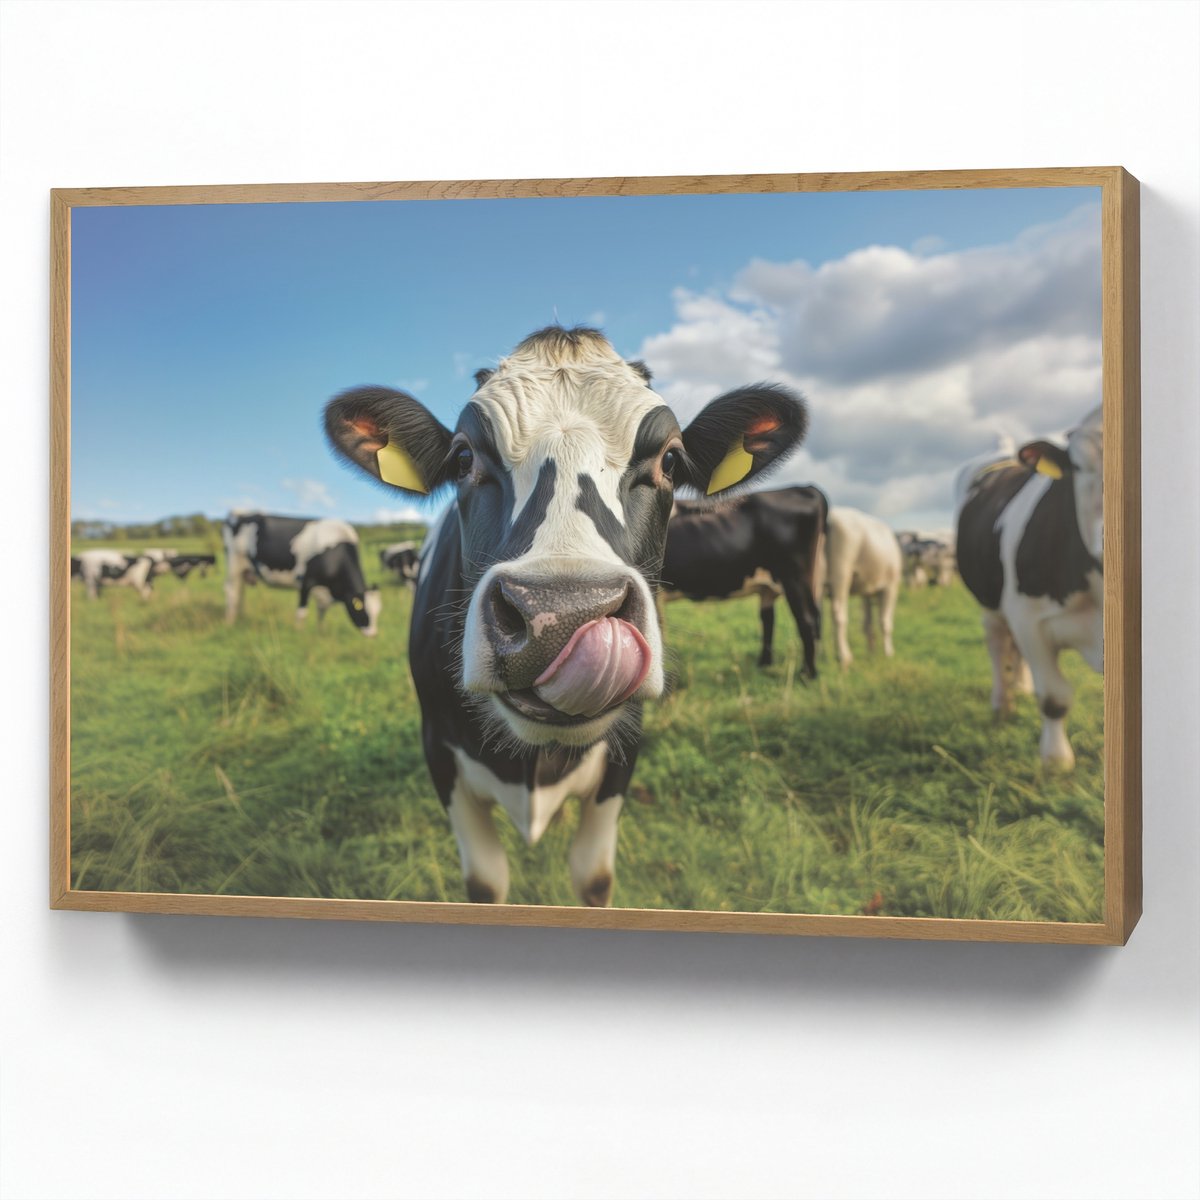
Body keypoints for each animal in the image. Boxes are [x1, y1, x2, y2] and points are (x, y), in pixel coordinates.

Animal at [221, 512, 381, 636]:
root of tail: (237, 516)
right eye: (361, 609)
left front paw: (320, 632)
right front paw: (299, 633)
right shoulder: (306, 581)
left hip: (244, 571)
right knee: (231, 592)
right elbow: (302, 612)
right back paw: (229, 622)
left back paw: (240, 617)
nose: (373, 634)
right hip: (233, 565)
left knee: (240, 592)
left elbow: (321, 613)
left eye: (378, 611)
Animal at [323, 325, 806, 906]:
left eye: (670, 461)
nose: (561, 615)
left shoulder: (625, 751)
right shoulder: (439, 752)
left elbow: (593, 876)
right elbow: (486, 882)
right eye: (463, 458)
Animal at [658, 486, 828, 673]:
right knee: (773, 619)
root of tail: (805, 488)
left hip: (794, 576)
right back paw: (765, 665)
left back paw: (807, 674)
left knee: (806, 620)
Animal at [824, 507, 903, 667]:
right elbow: (885, 622)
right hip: (841, 571)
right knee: (839, 613)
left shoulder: (866, 591)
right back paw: (844, 657)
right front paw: (888, 654)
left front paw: (871, 653)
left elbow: (867, 624)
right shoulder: (891, 587)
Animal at [954, 407, 1103, 768]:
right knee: (996, 643)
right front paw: (1055, 761)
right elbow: (1054, 696)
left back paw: (1018, 687)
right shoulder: (1030, 621)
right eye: (1079, 466)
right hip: (989, 600)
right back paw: (1001, 702)